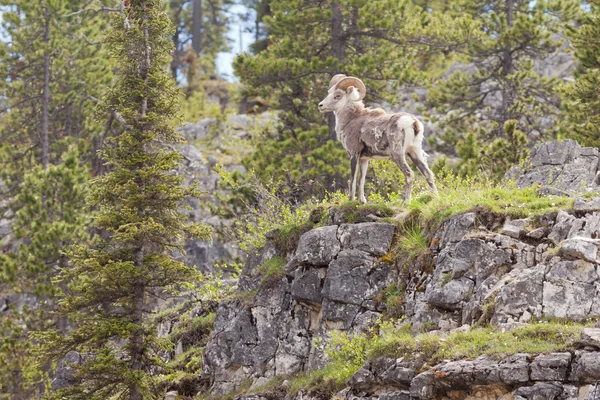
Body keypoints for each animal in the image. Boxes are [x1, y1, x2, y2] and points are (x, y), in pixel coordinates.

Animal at [316, 74, 438, 203]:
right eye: (329, 92)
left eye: (338, 95)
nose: (321, 105)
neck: (350, 120)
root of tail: (413, 122)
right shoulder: (364, 160)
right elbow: (361, 180)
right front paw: (362, 201)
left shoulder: (354, 154)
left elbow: (352, 180)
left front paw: (351, 201)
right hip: (415, 152)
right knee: (429, 175)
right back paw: (436, 198)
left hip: (398, 154)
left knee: (409, 174)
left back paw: (405, 202)